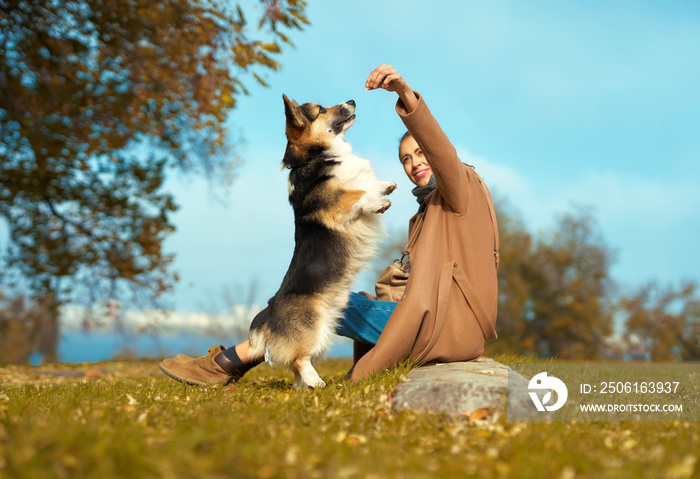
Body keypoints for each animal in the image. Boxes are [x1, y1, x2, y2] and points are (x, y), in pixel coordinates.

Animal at [249, 96, 396, 390]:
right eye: (321, 110)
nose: (352, 100)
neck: (316, 156)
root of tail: (269, 312)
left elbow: (368, 183)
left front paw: (386, 185)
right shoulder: (336, 201)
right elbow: (359, 193)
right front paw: (379, 202)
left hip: (326, 331)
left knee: (297, 369)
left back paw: (306, 387)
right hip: (312, 326)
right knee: (299, 360)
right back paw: (318, 383)